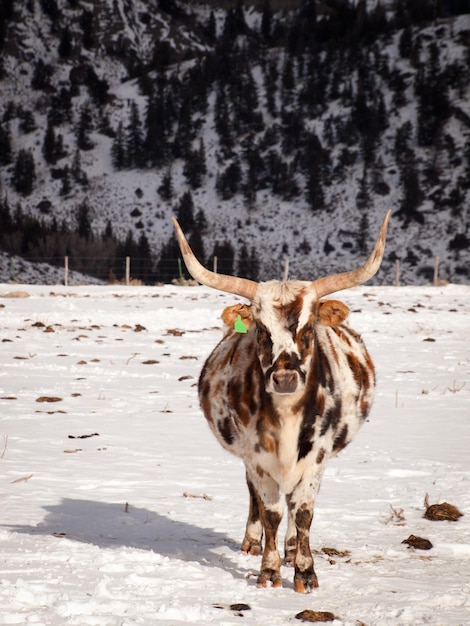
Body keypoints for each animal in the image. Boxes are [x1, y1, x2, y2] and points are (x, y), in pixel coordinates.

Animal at [172, 212, 390, 592]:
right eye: (261, 331)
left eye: (308, 330)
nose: (285, 378)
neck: (287, 417)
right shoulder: (256, 455)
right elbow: (269, 509)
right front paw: (269, 569)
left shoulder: (317, 454)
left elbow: (302, 511)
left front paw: (304, 570)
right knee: (256, 497)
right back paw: (253, 541)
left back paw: (290, 550)